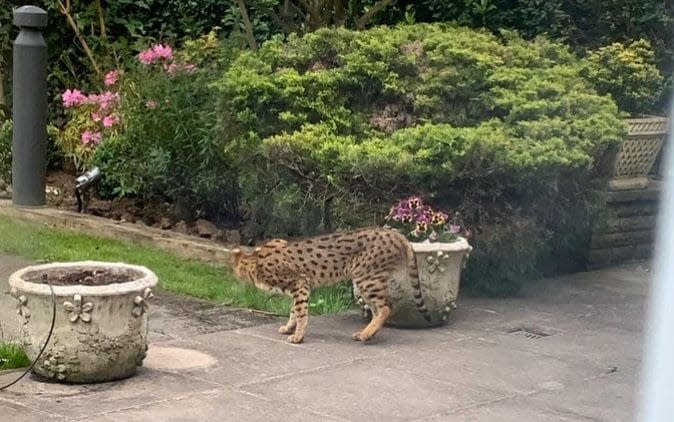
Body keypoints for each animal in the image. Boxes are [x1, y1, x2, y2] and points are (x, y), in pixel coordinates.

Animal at [232, 227, 430, 342]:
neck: (255, 262)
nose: (235, 278)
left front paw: (298, 336)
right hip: (365, 281)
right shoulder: (298, 288)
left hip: (366, 279)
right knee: (378, 309)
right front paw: (289, 328)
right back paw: (368, 333)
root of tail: (395, 233)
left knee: (386, 308)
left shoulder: (301, 284)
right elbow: (293, 311)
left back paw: (366, 334)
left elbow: (301, 313)